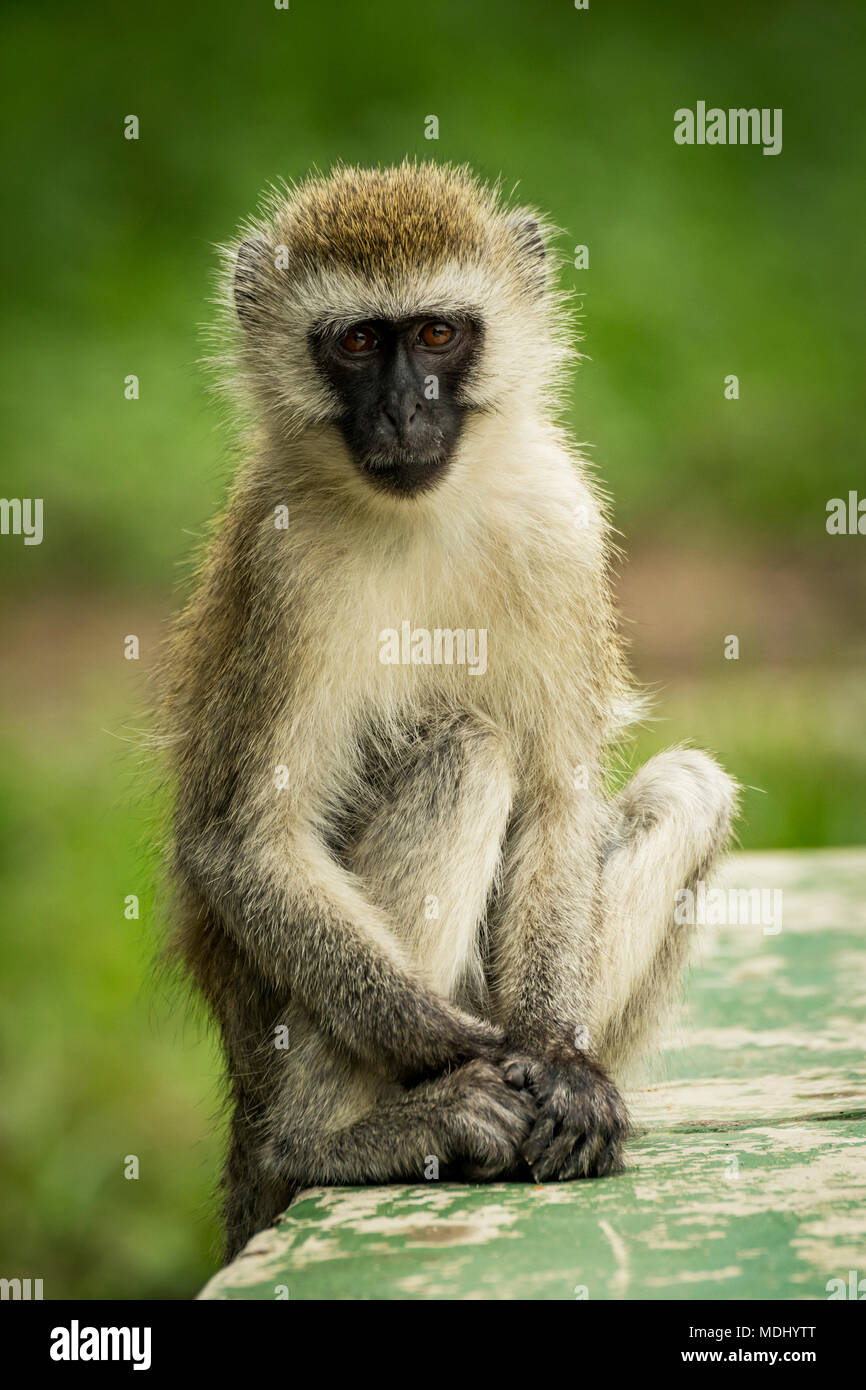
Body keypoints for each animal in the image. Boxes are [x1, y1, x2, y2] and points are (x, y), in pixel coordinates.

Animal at [161, 162, 733, 1262]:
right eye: (354, 342)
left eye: (435, 335)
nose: (403, 412)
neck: (420, 509)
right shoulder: (284, 568)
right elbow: (244, 840)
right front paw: (463, 1045)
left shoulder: (559, 523)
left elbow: (560, 797)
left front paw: (553, 1053)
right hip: (271, 1034)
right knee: (462, 751)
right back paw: (339, 1136)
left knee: (686, 788)